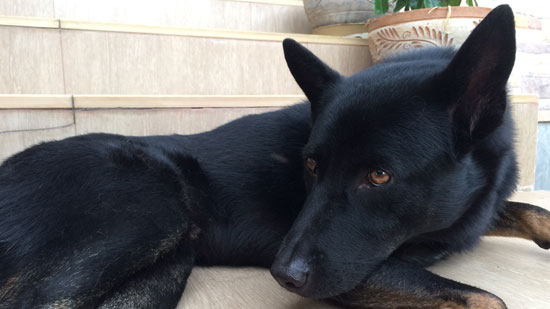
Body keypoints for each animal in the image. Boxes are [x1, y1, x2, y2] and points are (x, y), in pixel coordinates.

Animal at [0, 4, 548, 306]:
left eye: (379, 176)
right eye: (311, 166)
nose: (281, 275)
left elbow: (531, 210)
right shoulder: (364, 272)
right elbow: (488, 299)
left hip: (165, 269)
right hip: (153, 206)